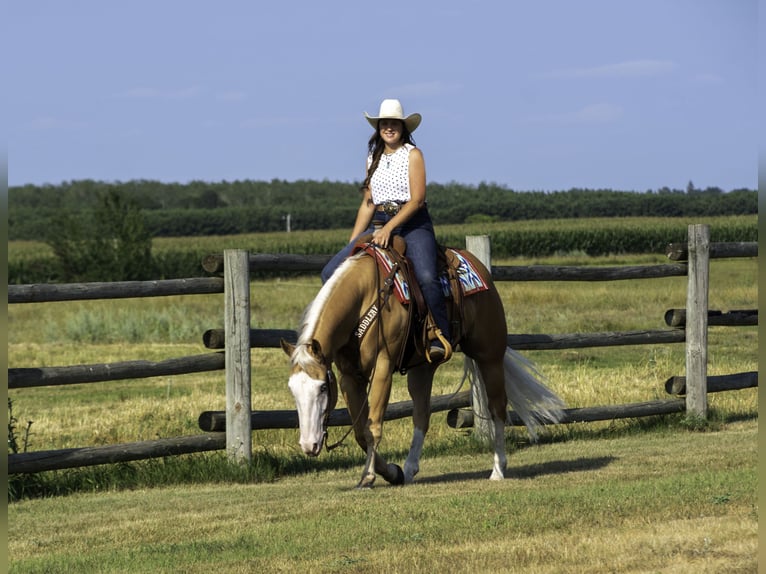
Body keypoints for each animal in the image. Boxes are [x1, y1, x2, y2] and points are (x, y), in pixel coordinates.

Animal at [282, 241, 564, 488]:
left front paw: (369, 477)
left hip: (489, 356)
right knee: (421, 415)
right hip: (423, 368)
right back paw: (408, 470)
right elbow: (361, 432)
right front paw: (391, 472)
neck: (366, 297)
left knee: (497, 408)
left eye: (322, 388)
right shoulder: (350, 376)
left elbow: (373, 426)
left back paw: (498, 469)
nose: (308, 445)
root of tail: (476, 265)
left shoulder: (383, 367)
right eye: (292, 390)